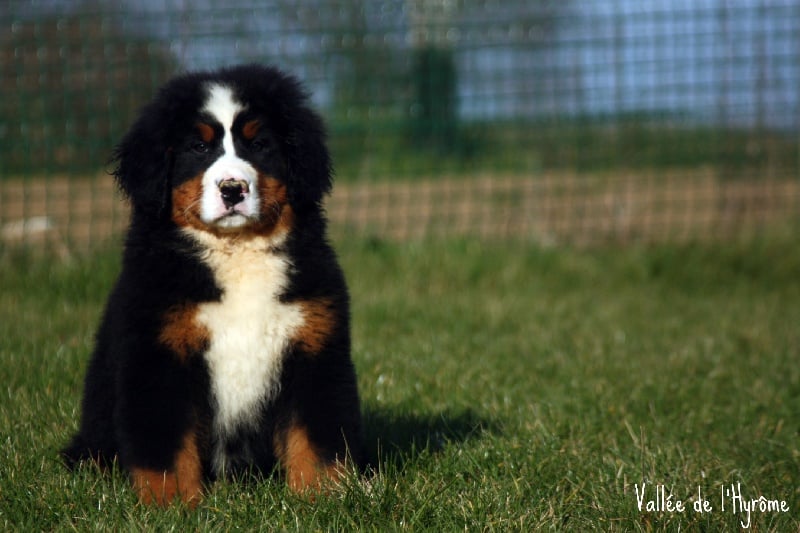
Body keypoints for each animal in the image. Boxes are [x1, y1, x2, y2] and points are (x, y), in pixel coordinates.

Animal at [62, 64, 362, 504]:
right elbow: (166, 447)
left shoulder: (313, 346)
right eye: (198, 148)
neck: (236, 253)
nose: (233, 188)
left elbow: (316, 437)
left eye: (259, 144)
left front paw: (324, 498)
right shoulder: (159, 354)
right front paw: (171, 504)